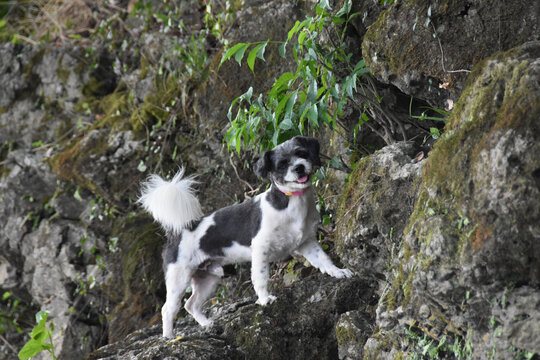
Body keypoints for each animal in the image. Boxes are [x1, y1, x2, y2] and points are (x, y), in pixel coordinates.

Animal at [138, 135, 354, 338]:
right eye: (282, 165)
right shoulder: (260, 248)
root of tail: (179, 230)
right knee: (168, 309)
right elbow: (261, 277)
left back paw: (206, 324)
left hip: (207, 278)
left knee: (191, 305)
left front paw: (338, 272)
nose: (299, 168)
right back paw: (169, 337)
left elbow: (324, 260)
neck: (292, 202)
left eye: (302, 153)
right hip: (179, 277)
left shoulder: (307, 243)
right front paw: (265, 299)